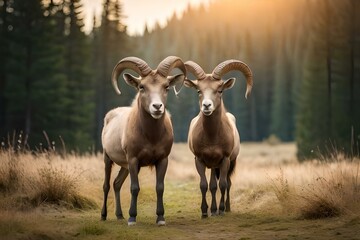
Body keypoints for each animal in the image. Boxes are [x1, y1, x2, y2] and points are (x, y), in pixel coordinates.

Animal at [101, 55, 186, 225]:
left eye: (166, 86)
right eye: (141, 86)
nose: (157, 106)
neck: (151, 137)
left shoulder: (162, 159)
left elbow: (160, 187)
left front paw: (160, 218)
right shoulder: (133, 159)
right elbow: (135, 188)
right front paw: (132, 218)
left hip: (125, 166)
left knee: (116, 184)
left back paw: (119, 215)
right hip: (108, 158)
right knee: (106, 185)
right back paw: (104, 216)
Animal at [184, 59, 252, 218]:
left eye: (219, 90)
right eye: (199, 91)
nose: (207, 106)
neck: (212, 138)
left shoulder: (225, 159)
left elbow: (223, 184)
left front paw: (221, 210)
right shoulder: (200, 160)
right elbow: (205, 185)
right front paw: (205, 212)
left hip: (229, 163)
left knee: (228, 183)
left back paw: (226, 208)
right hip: (213, 165)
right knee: (212, 185)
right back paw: (213, 210)